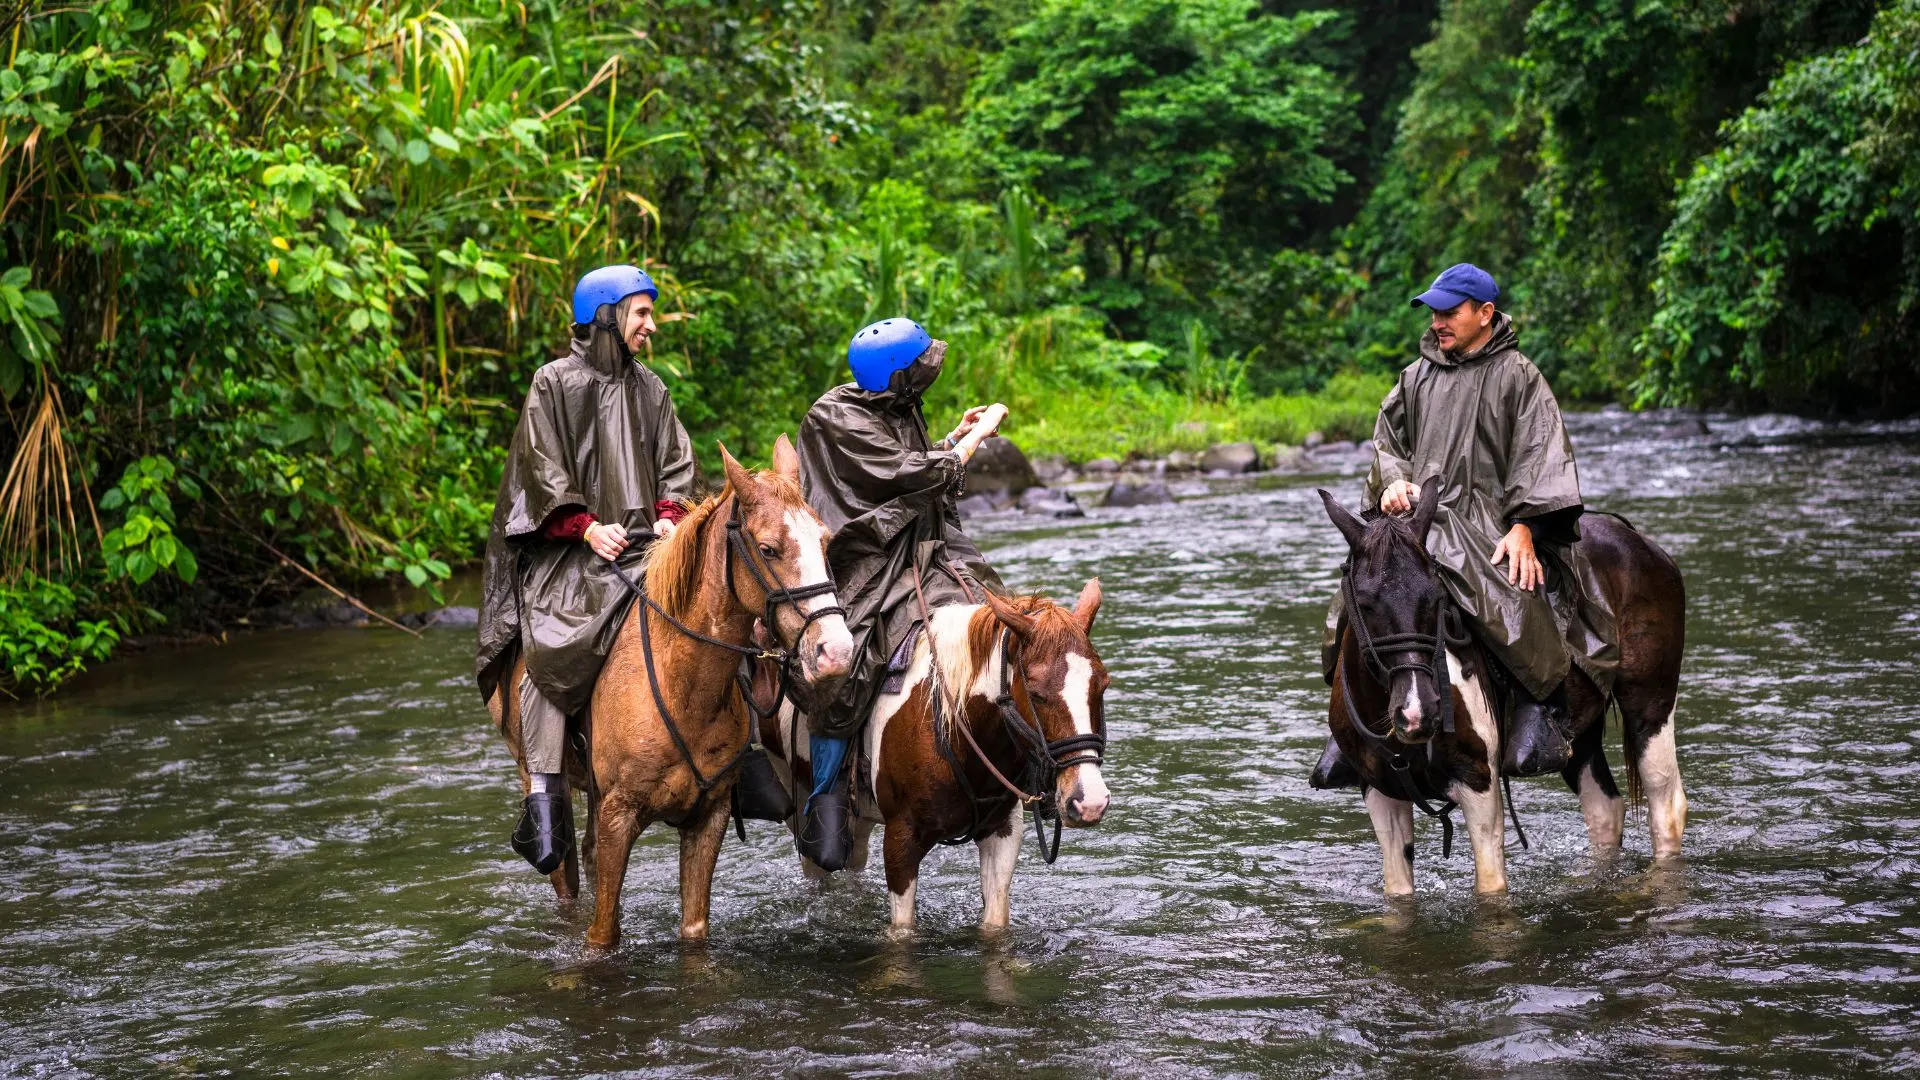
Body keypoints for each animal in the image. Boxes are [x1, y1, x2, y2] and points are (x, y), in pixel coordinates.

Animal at [490, 436, 854, 947]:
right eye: (768, 548)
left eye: (824, 540)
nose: (836, 651)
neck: (682, 685)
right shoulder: (619, 816)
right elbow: (602, 934)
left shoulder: (708, 818)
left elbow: (694, 929)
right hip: (537, 772)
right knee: (563, 867)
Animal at [765, 580, 1111, 934]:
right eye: (1037, 694)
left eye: (1101, 685)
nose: (1090, 801)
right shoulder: (900, 841)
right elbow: (903, 931)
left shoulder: (1002, 831)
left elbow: (995, 923)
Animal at [1317, 480, 1687, 896]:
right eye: (1365, 603)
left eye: (1436, 595)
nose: (1418, 713)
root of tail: (1640, 541)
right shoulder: (1379, 790)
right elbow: (1398, 893)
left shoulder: (1478, 780)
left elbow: (1491, 888)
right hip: (1580, 733)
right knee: (1605, 810)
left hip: (1650, 703)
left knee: (1665, 804)